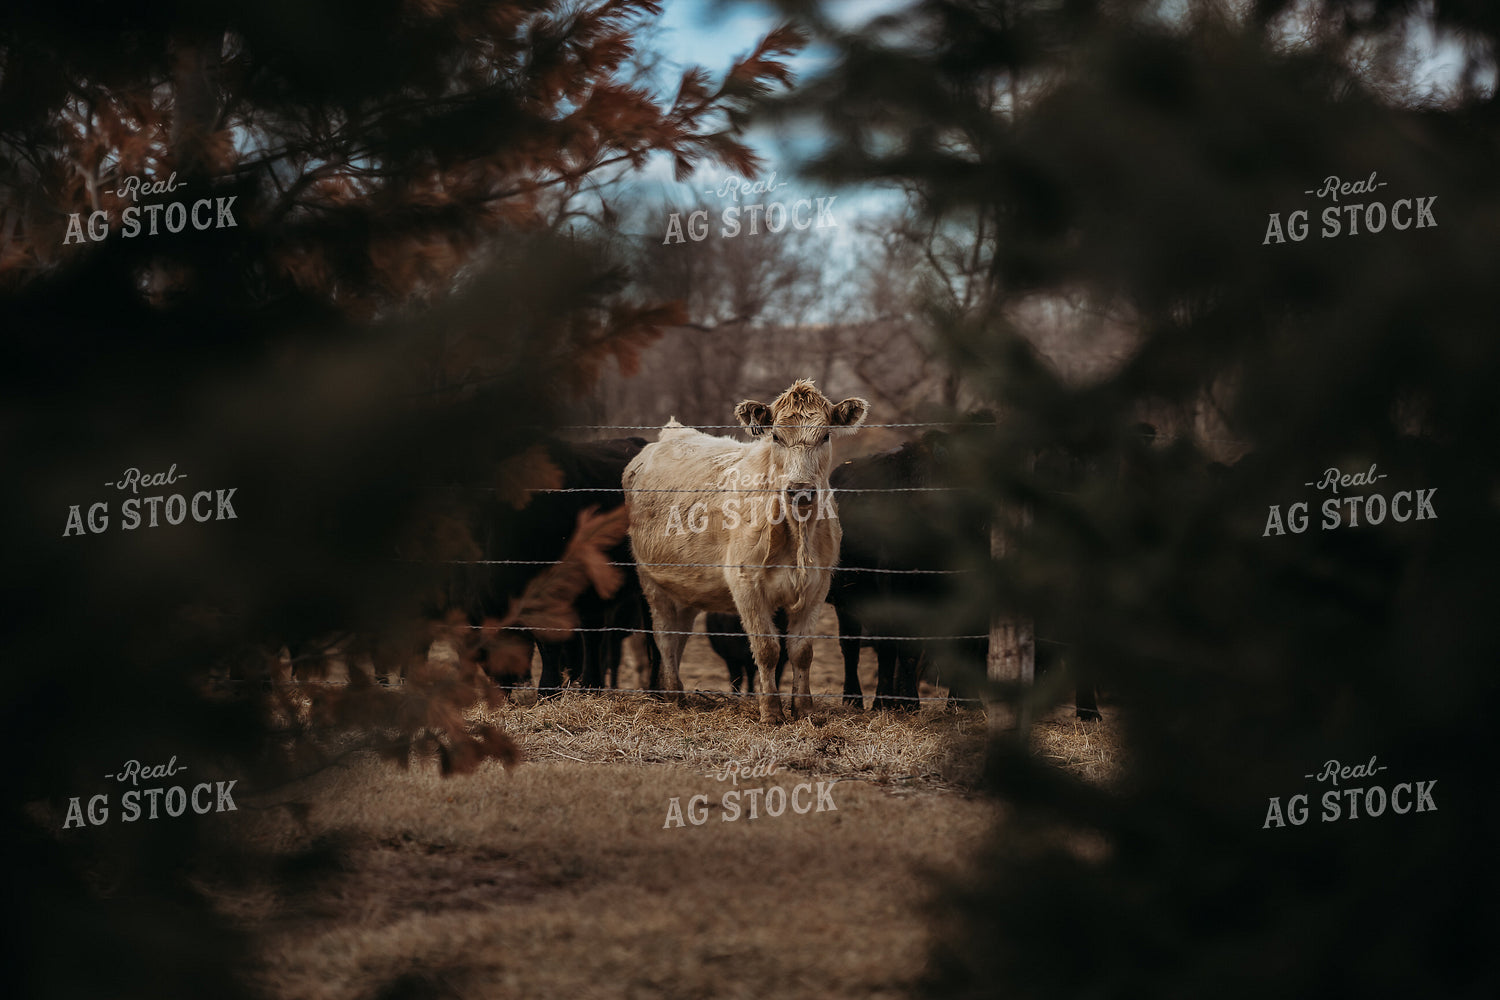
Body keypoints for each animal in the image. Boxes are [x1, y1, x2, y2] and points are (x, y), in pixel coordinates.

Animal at [624, 379, 868, 723]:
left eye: (825, 436)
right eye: (776, 436)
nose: (800, 489)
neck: (795, 532)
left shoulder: (817, 586)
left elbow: (801, 651)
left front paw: (804, 709)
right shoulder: (746, 585)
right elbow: (767, 650)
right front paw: (770, 712)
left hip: (686, 588)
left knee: (681, 634)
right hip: (652, 579)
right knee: (665, 636)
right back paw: (673, 696)